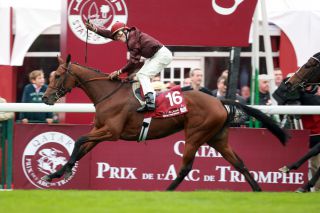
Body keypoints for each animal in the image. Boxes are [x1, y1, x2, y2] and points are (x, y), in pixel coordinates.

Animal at [42, 55, 288, 191]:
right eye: (51, 75)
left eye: (57, 76)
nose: (45, 98)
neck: (109, 94)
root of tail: (219, 100)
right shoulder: (100, 130)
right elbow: (82, 148)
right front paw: (55, 174)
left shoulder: (111, 132)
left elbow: (78, 140)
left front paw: (64, 170)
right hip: (217, 138)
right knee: (239, 163)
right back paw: (257, 191)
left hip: (195, 135)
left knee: (185, 168)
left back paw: (165, 191)